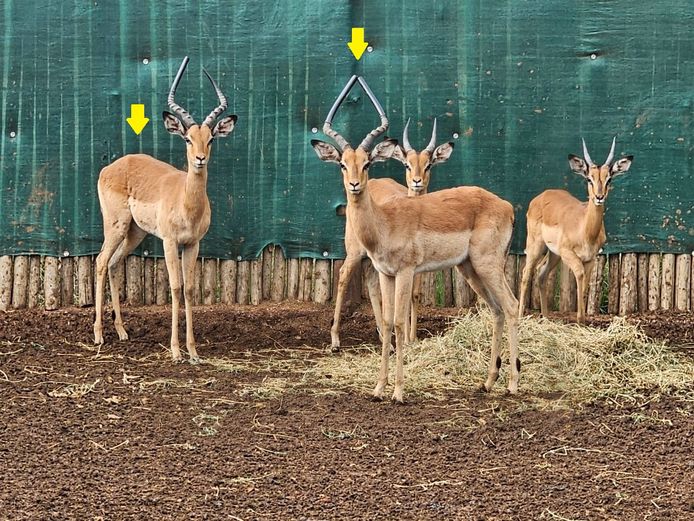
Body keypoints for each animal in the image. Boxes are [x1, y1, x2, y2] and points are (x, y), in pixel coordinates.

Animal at [93, 57, 237, 362]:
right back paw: (98, 334)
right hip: (116, 226)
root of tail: (111, 166)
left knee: (113, 263)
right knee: (100, 261)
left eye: (210, 139)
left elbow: (190, 289)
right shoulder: (170, 242)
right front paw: (175, 351)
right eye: (187, 138)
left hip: (136, 232)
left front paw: (193, 351)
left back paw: (122, 331)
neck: (186, 202)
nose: (200, 159)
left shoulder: (192, 244)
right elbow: (175, 287)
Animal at [330, 118, 454, 351]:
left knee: (372, 285)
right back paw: (335, 341)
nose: (417, 181)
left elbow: (414, 294)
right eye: (407, 164)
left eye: (428, 164)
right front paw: (404, 339)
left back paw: (382, 336)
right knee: (343, 276)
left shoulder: (416, 265)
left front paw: (411, 338)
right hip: (354, 253)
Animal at [518, 138, 633, 324]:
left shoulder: (591, 259)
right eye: (589, 179)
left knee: (541, 274)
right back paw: (521, 316)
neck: (585, 231)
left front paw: (583, 320)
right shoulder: (570, 254)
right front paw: (580, 319)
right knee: (526, 273)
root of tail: (541, 196)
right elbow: (579, 275)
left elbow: (586, 284)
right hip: (536, 246)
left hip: (554, 253)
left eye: (609, 179)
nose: (599, 197)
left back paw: (546, 318)